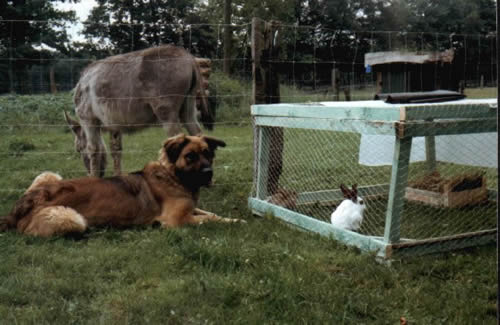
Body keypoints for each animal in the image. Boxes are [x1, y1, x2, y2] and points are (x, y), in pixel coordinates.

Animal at [0, 133, 242, 237]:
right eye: (190, 156)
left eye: (208, 154)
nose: (209, 174)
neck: (173, 175)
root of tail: (21, 206)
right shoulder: (177, 220)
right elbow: (209, 219)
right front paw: (235, 221)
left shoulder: (190, 209)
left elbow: (210, 213)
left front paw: (232, 218)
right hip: (72, 217)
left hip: (48, 175)